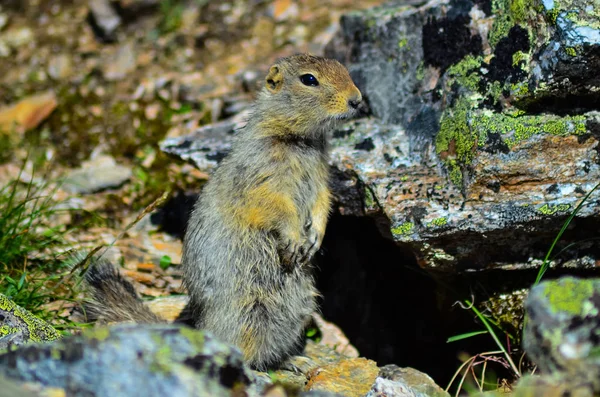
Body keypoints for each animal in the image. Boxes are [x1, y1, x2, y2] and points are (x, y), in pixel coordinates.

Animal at [82, 54, 364, 370]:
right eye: (309, 79)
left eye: (344, 69)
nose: (357, 100)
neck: (300, 140)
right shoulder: (262, 175)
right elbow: (276, 205)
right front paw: (294, 240)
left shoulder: (320, 176)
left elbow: (321, 202)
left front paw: (314, 237)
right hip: (248, 313)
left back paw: (292, 361)